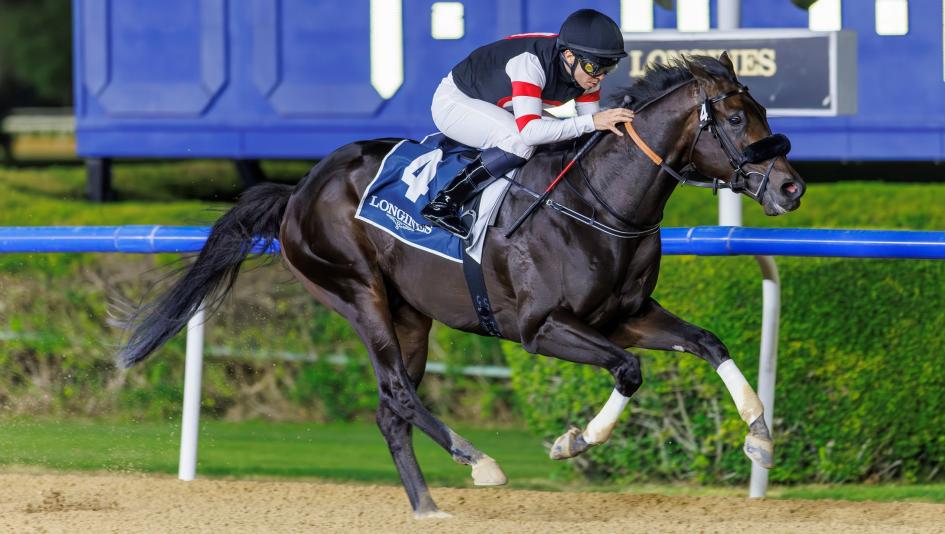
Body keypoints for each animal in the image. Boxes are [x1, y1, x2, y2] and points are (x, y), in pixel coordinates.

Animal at [117, 53, 805, 518]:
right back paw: (481, 463)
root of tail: (299, 190)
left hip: (410, 315)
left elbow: (709, 342)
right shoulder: (540, 329)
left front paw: (760, 437)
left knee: (390, 409)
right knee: (397, 390)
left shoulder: (625, 314)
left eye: (764, 112)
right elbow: (629, 370)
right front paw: (574, 441)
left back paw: (427, 506)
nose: (792, 186)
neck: (600, 204)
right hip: (357, 291)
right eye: (736, 117)